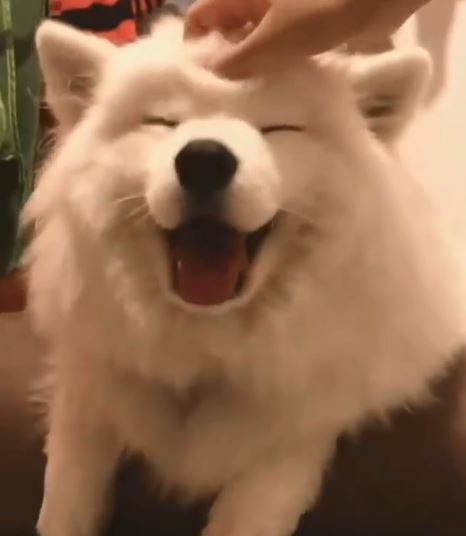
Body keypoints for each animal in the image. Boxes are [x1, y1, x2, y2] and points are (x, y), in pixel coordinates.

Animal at [27, 14, 466, 536]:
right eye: (162, 122)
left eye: (277, 128)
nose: (204, 158)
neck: (203, 344)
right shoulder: (87, 383)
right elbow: (65, 493)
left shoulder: (301, 426)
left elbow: (251, 508)